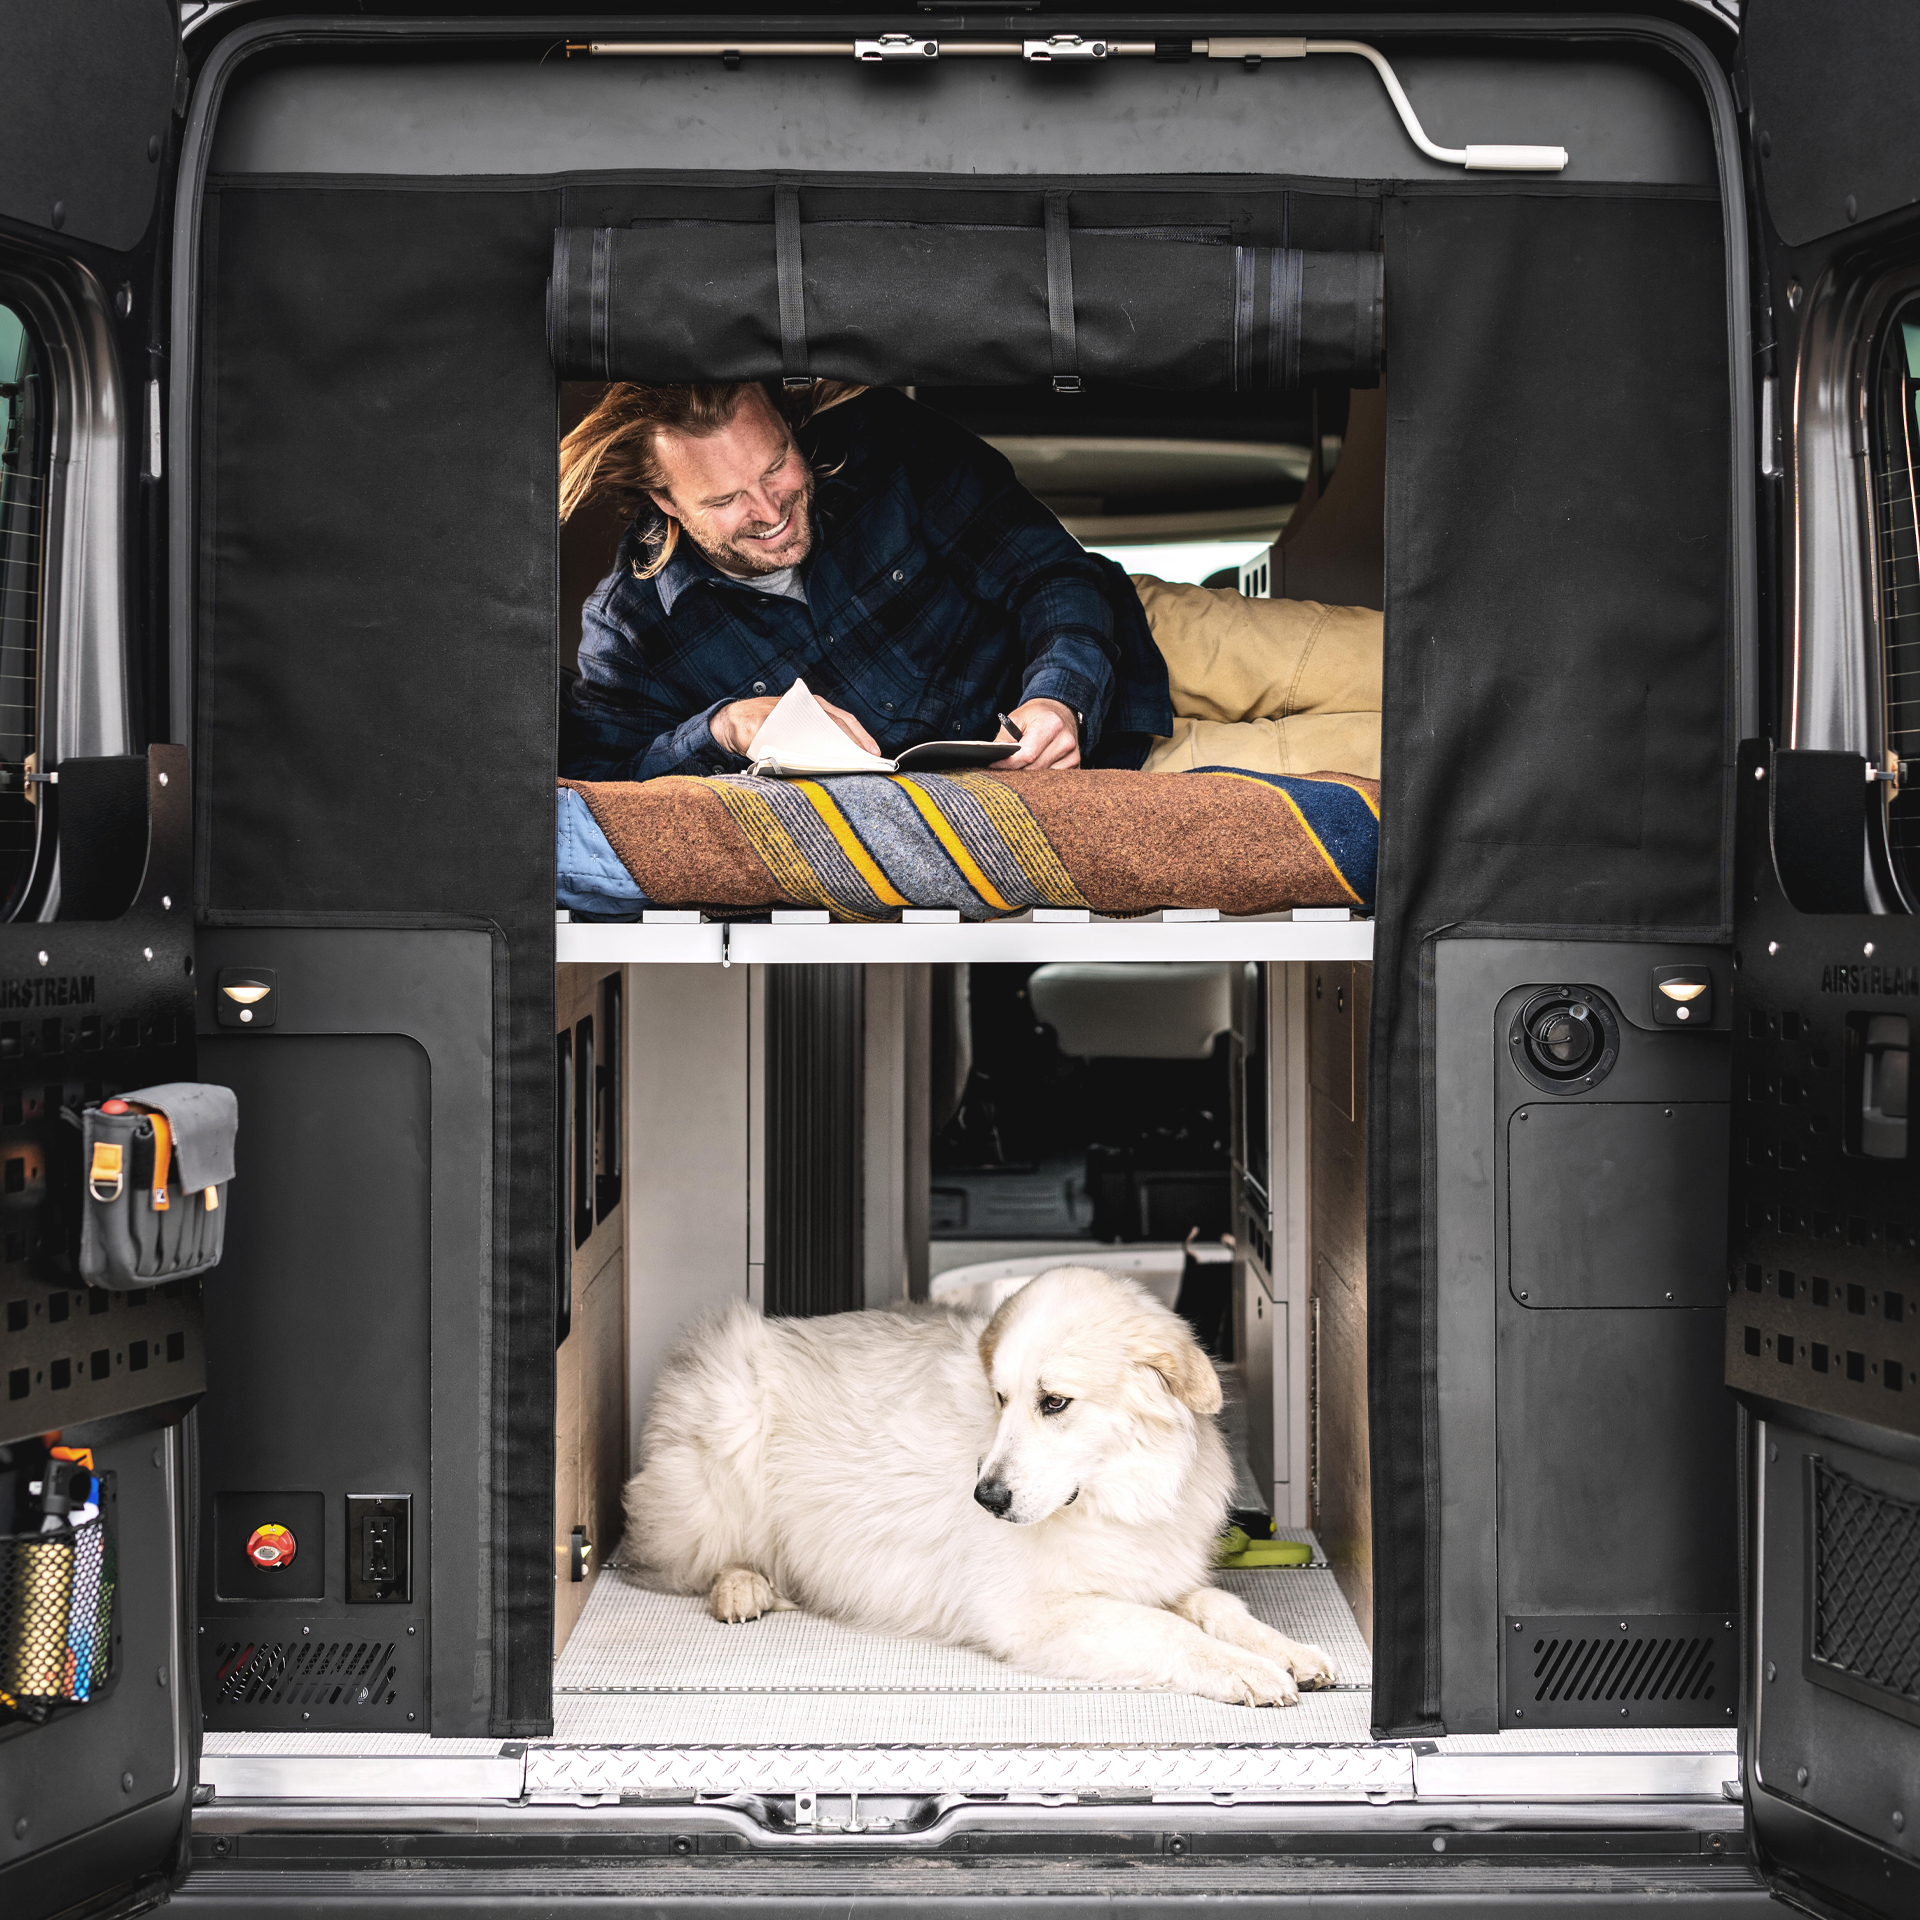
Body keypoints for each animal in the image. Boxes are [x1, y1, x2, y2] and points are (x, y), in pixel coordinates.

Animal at [625, 1267, 1336, 1704]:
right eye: (1000, 1399)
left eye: (1054, 1403)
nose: (986, 1499)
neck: (1118, 1493)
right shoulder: (1036, 1613)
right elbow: (1168, 1631)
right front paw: (1245, 1669)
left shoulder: (1149, 1572)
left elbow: (1219, 1608)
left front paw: (1284, 1651)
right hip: (729, 1432)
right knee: (692, 1559)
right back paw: (741, 1586)